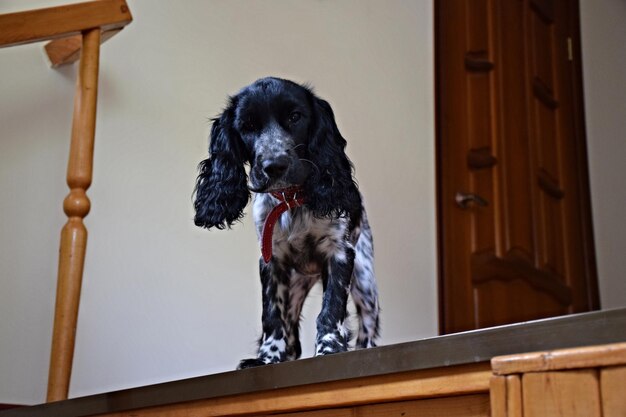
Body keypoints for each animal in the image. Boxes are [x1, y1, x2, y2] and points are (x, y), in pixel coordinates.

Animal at [193, 77, 378, 368]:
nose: (274, 165)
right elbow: (272, 316)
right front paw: (268, 358)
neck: (291, 200)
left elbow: (331, 309)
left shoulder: (339, 252)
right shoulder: (272, 260)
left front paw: (328, 349)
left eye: (294, 117)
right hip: (294, 286)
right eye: (248, 126)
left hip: (365, 281)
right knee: (291, 334)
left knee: (368, 325)